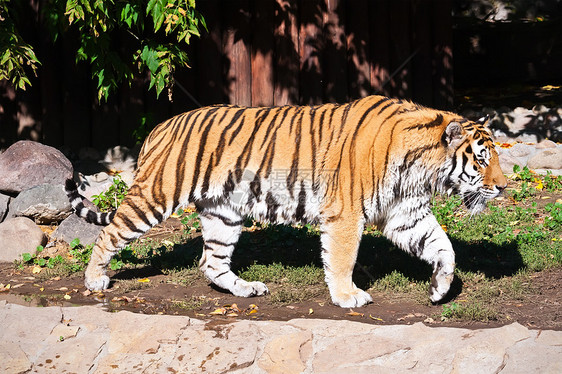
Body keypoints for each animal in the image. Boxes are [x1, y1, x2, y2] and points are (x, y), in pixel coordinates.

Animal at [63, 95, 506, 308]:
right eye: (483, 160)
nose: (504, 187)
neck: (421, 168)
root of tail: (159, 126)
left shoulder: (405, 214)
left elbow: (443, 247)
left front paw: (441, 288)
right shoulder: (346, 214)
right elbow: (342, 258)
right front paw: (347, 297)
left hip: (224, 213)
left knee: (212, 262)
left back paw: (246, 289)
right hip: (155, 195)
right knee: (110, 234)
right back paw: (94, 279)